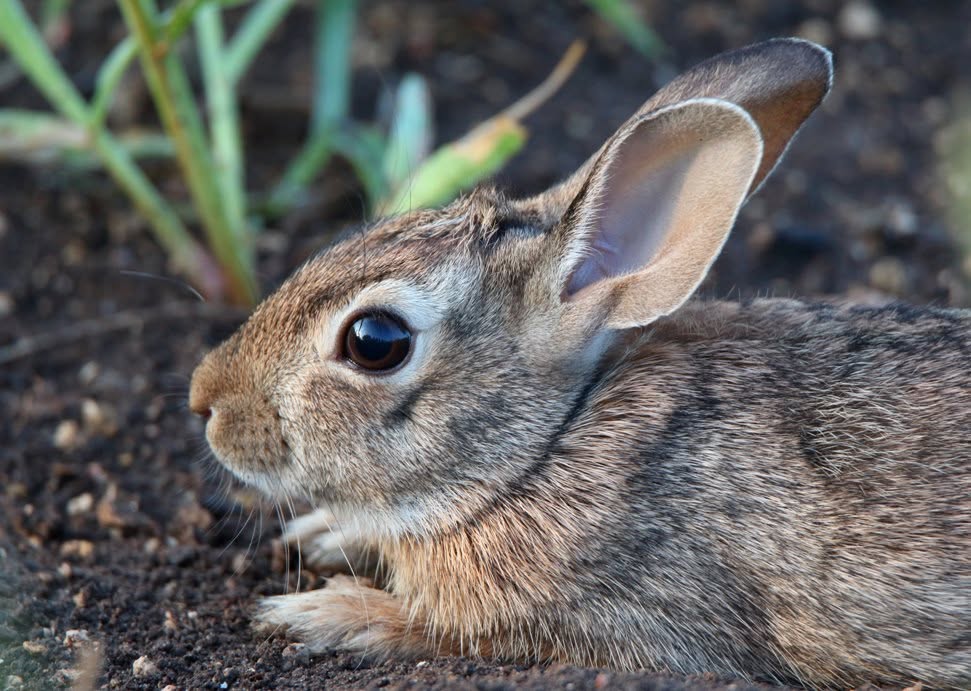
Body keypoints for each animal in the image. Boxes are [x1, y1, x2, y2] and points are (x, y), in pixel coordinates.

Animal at [189, 38, 971, 688]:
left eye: (374, 341)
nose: (205, 401)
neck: (545, 450)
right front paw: (322, 534)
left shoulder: (637, 624)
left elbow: (446, 630)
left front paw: (320, 612)